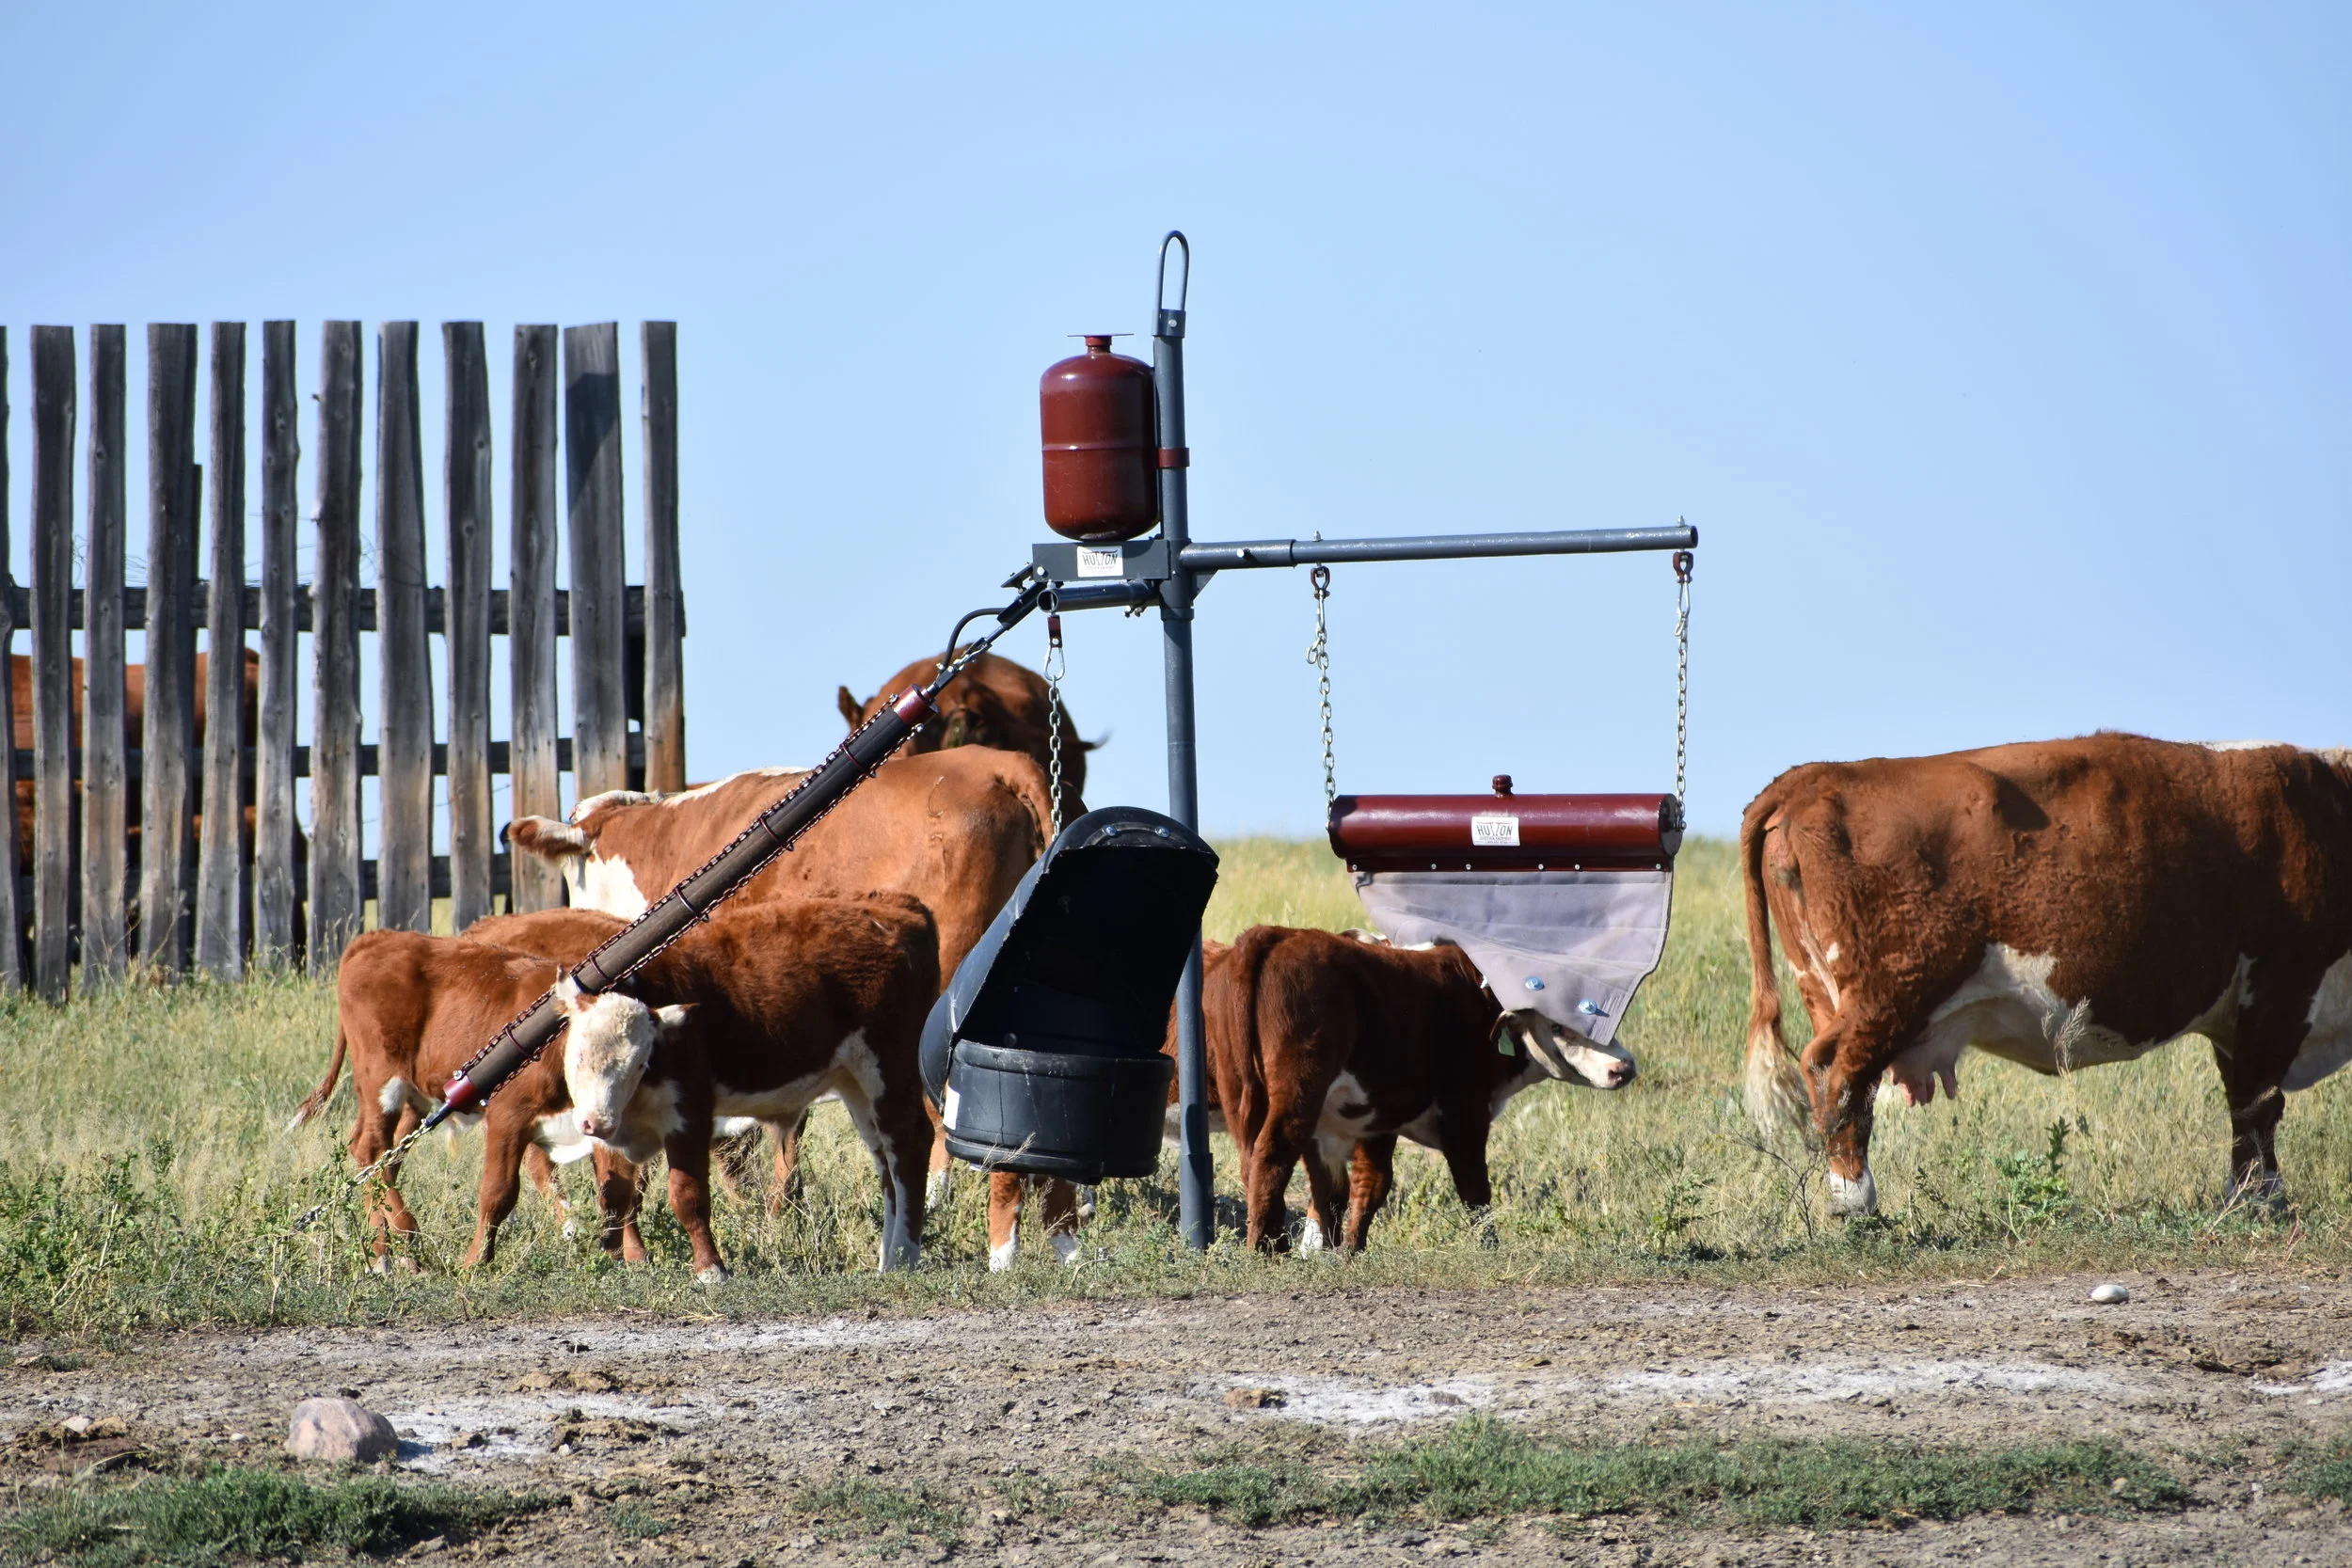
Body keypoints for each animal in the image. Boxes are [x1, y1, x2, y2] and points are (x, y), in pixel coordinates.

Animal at [288, 930, 705, 1273]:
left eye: (639, 1064)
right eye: (581, 1054)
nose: (596, 1123)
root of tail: (376, 938)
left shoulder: (604, 1120)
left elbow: (618, 1190)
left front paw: (630, 1255)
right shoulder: (508, 1116)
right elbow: (499, 1191)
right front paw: (476, 1261)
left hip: (415, 1095)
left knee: (385, 1156)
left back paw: (395, 1248)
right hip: (381, 1079)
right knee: (371, 1148)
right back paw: (392, 1247)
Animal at [460, 895, 940, 1270]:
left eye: (639, 1063)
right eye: (577, 1056)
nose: (594, 1123)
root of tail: (897, 908)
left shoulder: (690, 1110)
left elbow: (687, 1194)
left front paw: (711, 1269)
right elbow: (617, 1195)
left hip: (889, 1065)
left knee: (910, 1143)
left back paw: (905, 1257)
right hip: (856, 1081)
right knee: (885, 1159)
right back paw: (888, 1257)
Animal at [1203, 926, 1638, 1253]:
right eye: (1559, 1026)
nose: (1624, 1068)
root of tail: (1277, 934)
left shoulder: (1375, 1119)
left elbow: (1362, 1186)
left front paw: (1348, 1252)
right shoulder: (1464, 1113)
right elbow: (1474, 1190)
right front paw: (1490, 1249)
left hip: (1244, 1091)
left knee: (1253, 1160)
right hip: (1299, 1090)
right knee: (1272, 1153)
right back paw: (1267, 1251)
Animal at [1738, 734, 2352, 1218]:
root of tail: (1817, 775)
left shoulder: (2242, 1013)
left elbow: (2244, 1100)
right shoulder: (2281, 984)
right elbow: (2258, 1103)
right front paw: (2262, 1201)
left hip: (1824, 988)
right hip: (1887, 994)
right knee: (1838, 1077)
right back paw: (1854, 1203)